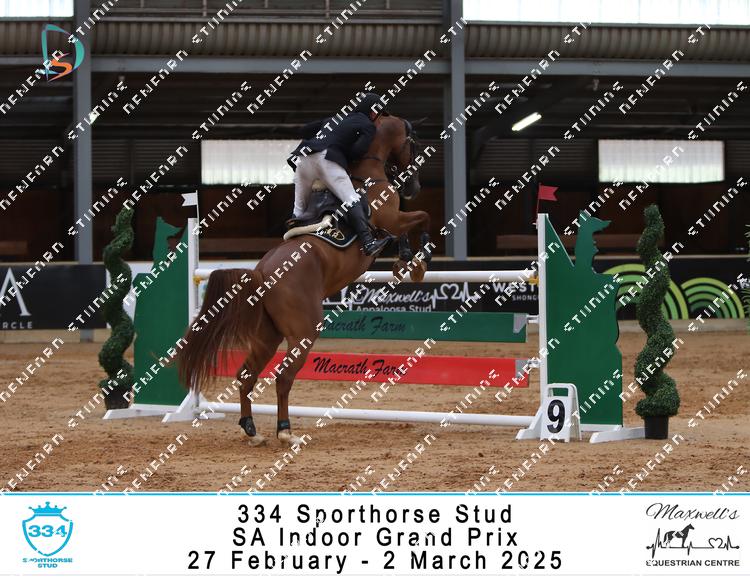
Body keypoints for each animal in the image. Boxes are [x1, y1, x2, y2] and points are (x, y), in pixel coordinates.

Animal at [178, 114, 431, 446]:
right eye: (413, 142)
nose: (414, 187)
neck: (367, 173)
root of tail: (262, 273)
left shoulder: (393, 220)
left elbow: (408, 227)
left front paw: (406, 261)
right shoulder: (391, 217)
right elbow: (420, 219)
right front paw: (417, 261)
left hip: (267, 335)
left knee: (247, 374)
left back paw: (251, 429)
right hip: (304, 332)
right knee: (283, 377)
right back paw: (285, 432)